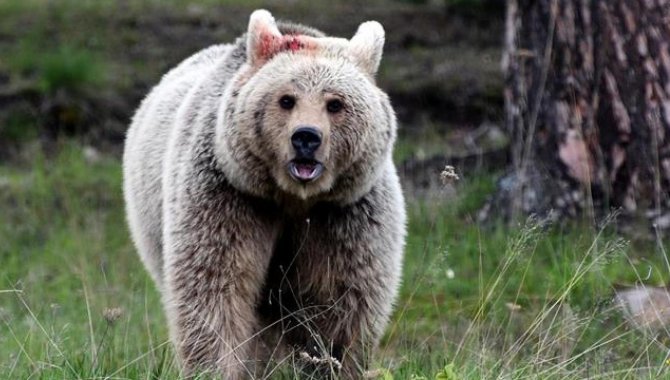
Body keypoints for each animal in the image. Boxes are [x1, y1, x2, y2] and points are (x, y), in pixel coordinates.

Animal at [123, 9, 406, 380]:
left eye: (335, 103)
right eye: (287, 99)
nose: (306, 137)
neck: (294, 198)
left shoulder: (344, 214)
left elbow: (340, 300)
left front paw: (329, 362)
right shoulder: (230, 197)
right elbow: (216, 287)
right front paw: (216, 367)